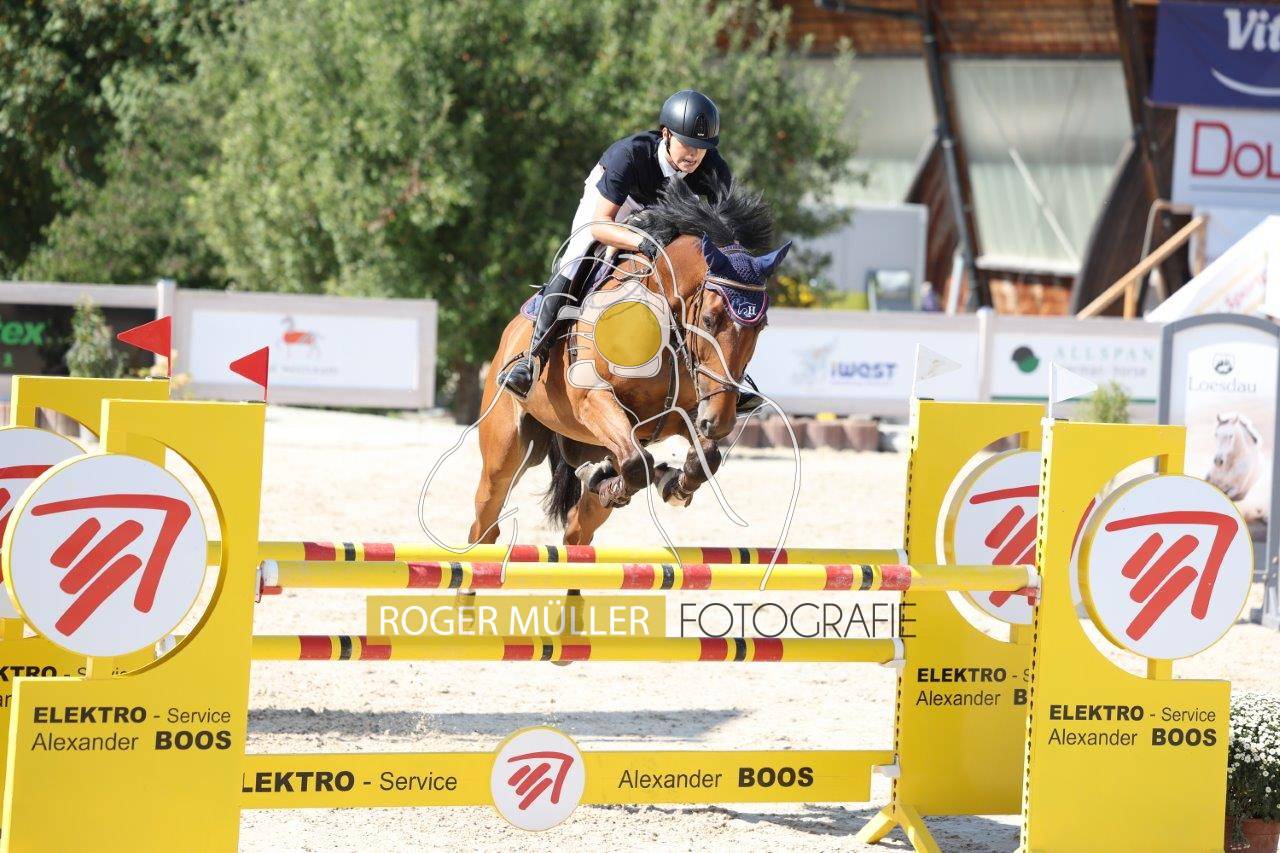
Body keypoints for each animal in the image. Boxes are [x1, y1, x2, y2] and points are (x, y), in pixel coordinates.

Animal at [470, 183, 789, 547]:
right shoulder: (593, 398)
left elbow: (704, 458)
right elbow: (638, 463)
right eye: (709, 319)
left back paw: (602, 477)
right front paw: (642, 479)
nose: (719, 423)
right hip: (505, 454)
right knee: (486, 522)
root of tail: (510, 334)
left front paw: (672, 484)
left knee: (577, 529)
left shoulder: (687, 411)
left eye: (761, 326)